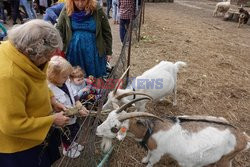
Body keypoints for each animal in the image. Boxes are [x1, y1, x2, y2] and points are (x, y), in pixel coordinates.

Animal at [95, 97, 250, 166]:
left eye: (115, 128)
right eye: (108, 117)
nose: (96, 131)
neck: (151, 129)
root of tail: (243, 137)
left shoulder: (158, 153)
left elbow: (151, 162)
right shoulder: (152, 148)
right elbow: (147, 154)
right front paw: (143, 159)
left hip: (225, 159)